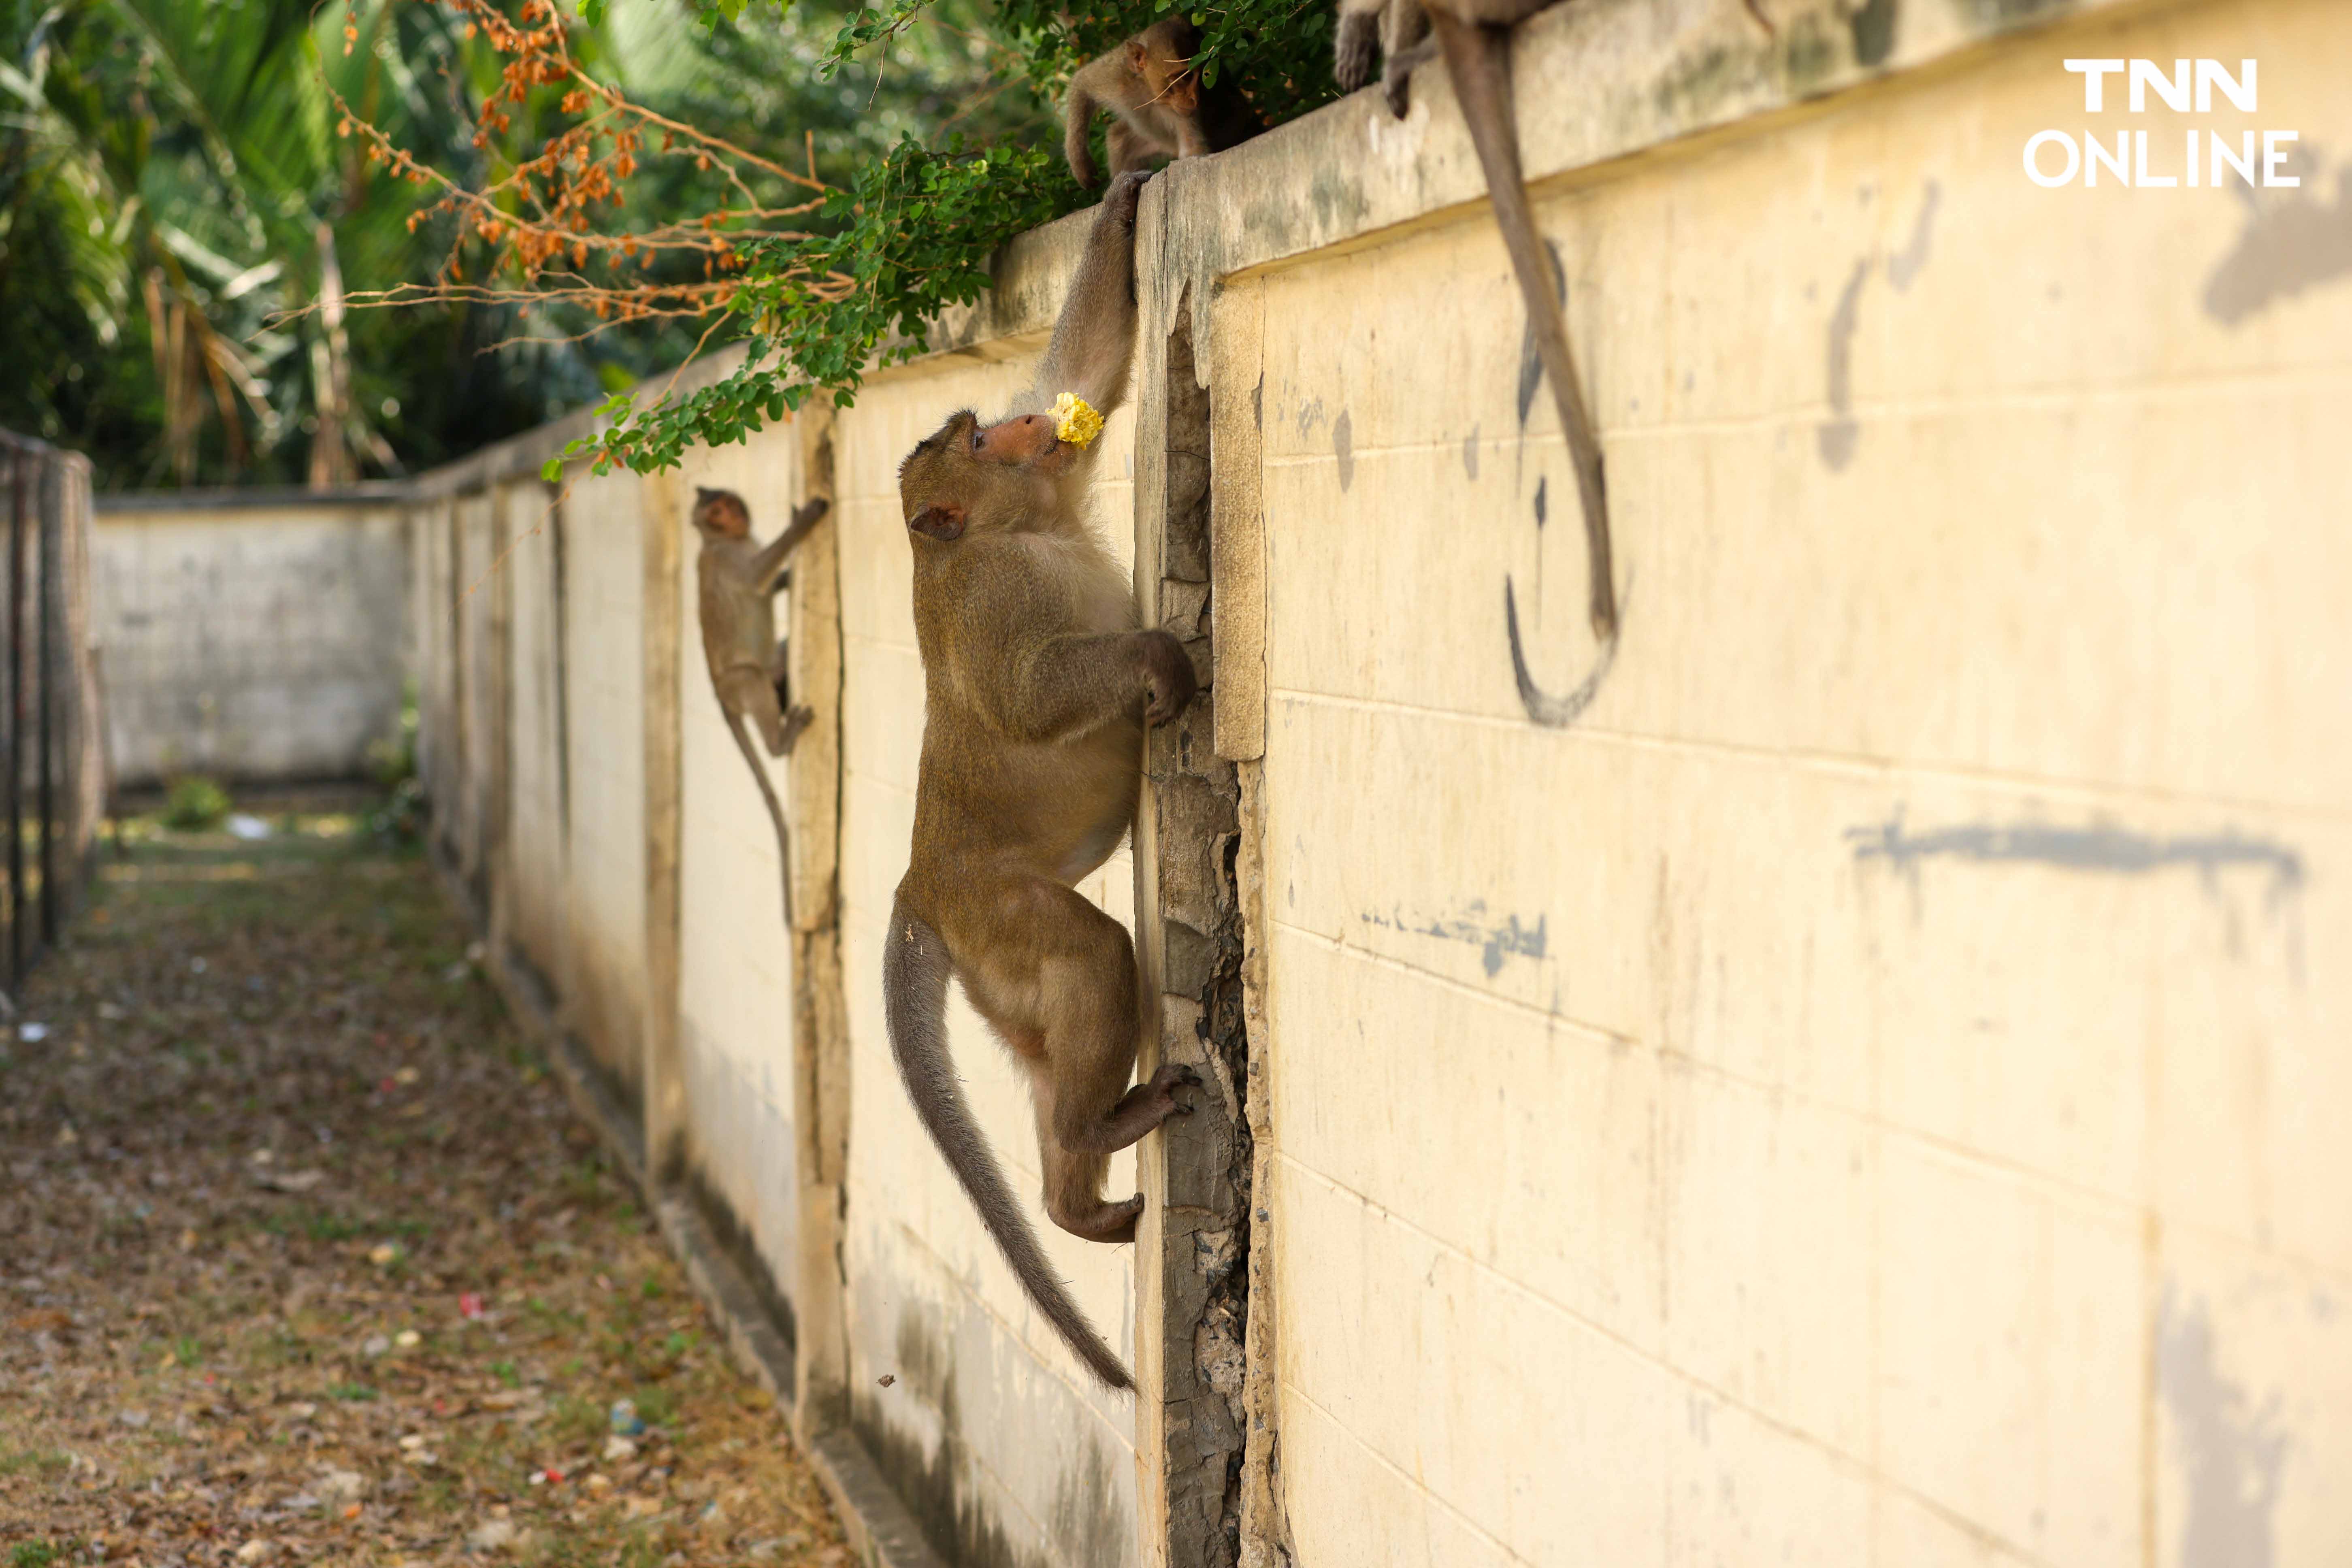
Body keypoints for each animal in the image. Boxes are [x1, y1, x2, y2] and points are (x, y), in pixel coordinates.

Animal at [686, 486, 828, 931]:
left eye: (725, 503)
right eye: (715, 511)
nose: (732, 514)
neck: (723, 540)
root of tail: (719, 695)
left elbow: (767, 581)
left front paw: (787, 576)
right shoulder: (731, 561)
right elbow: (756, 576)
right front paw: (805, 521)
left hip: (768, 668)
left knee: (777, 659)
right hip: (736, 685)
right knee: (752, 679)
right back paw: (779, 743)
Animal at [889, 175, 1204, 1401]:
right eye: (979, 439)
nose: (1024, 425)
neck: (1009, 525)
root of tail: (916, 892)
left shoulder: (1057, 485)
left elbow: (1093, 367)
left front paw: (1123, 193)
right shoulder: (990, 596)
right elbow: (1029, 697)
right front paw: (1156, 659)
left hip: (996, 984)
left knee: (1047, 1031)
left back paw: (1069, 1200)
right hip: (997, 917)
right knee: (1092, 956)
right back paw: (1094, 1130)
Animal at [1058, 19, 1261, 189]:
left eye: (1199, 76)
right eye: (1183, 77)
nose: (1194, 98)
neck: (1150, 91)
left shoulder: (1187, 114)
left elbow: (1191, 151)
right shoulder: (1116, 74)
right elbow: (1082, 85)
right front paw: (1080, 163)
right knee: (1119, 140)